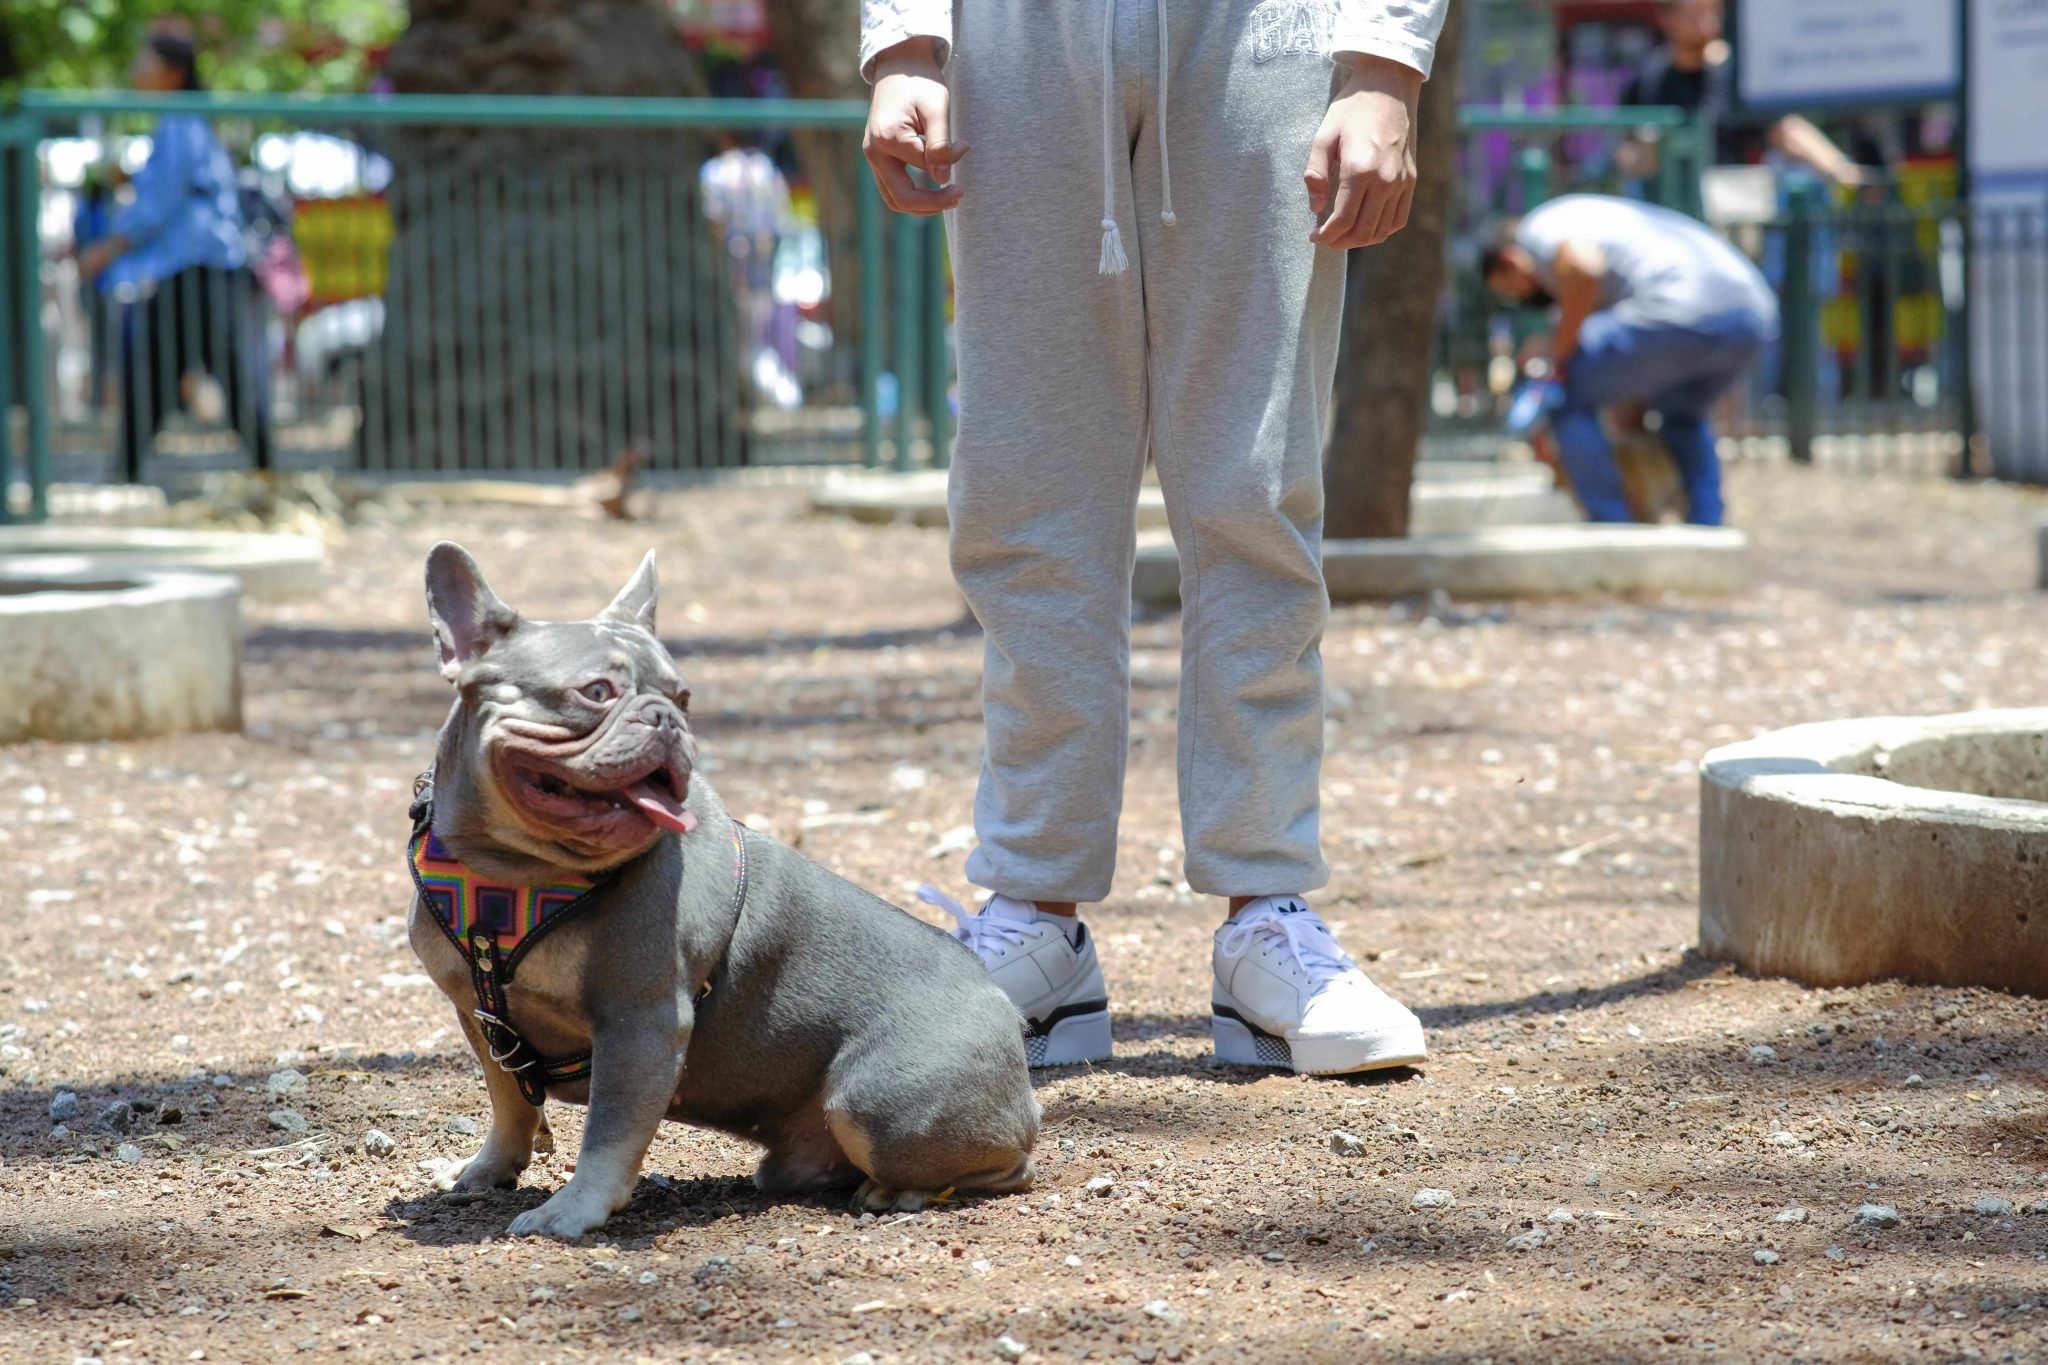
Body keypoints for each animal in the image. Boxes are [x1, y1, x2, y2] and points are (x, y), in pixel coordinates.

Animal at [403, 544, 1040, 1236]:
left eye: (683, 696)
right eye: (596, 692)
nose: (668, 720)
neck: (513, 871)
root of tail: (1002, 1008)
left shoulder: (642, 1024)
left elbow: (609, 1133)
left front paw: (571, 1210)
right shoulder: (479, 1015)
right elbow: (509, 1101)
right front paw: (490, 1168)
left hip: (877, 1102)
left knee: (1006, 1168)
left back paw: (900, 1192)